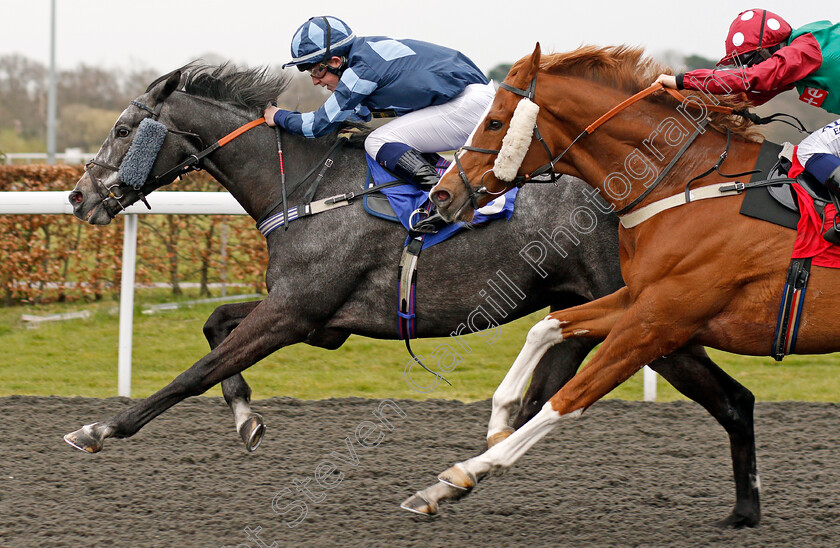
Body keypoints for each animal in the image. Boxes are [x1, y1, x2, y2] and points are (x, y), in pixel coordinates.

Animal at [60, 65, 756, 528]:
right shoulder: (313, 318)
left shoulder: (294, 313)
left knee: (733, 399)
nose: (76, 195)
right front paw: (246, 418)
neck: (307, 186)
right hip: (591, 307)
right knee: (557, 395)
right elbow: (213, 326)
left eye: (122, 129)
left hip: (656, 320)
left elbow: (191, 374)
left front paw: (99, 428)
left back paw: (744, 511)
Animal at [404, 45, 836, 528]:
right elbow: (547, 327)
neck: (688, 185)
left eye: (495, 122)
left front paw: (461, 474)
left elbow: (567, 399)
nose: (440, 196)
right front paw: (499, 420)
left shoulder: (659, 321)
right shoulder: (638, 299)